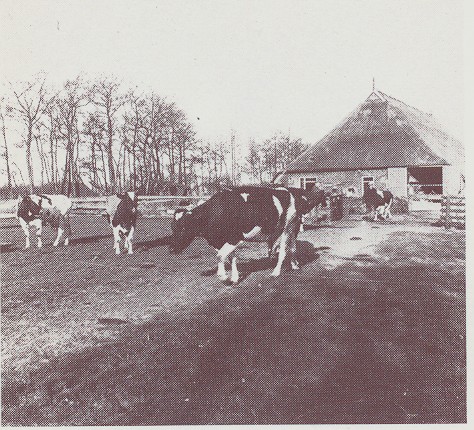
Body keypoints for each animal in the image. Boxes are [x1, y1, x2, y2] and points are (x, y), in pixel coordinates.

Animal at [168, 184, 328, 282]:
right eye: (172, 227)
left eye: (184, 227)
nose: (171, 249)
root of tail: (290, 191)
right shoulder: (226, 239)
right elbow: (231, 257)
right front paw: (234, 277)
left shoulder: (235, 237)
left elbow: (220, 256)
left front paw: (223, 275)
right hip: (292, 228)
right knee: (292, 247)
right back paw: (295, 265)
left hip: (287, 227)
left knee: (283, 251)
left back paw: (276, 272)